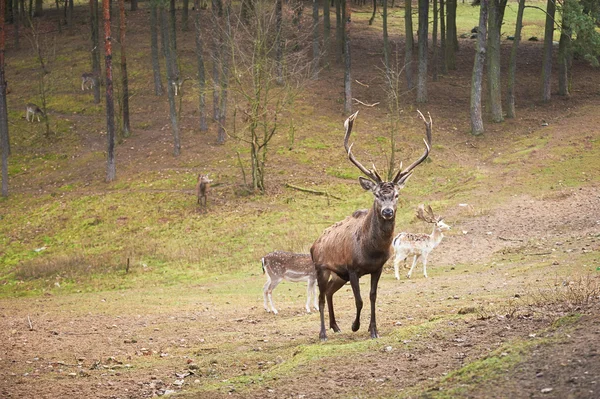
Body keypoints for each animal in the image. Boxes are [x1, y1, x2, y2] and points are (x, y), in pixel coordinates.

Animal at [310, 111, 432, 342]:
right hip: (321, 268)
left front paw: (373, 330)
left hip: (338, 275)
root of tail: (314, 244)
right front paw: (355, 325)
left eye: (396, 195)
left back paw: (335, 326)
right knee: (320, 297)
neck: (371, 250)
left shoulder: (377, 268)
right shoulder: (352, 268)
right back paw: (323, 333)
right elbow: (359, 300)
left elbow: (372, 297)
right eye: (376, 194)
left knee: (329, 292)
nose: (387, 211)